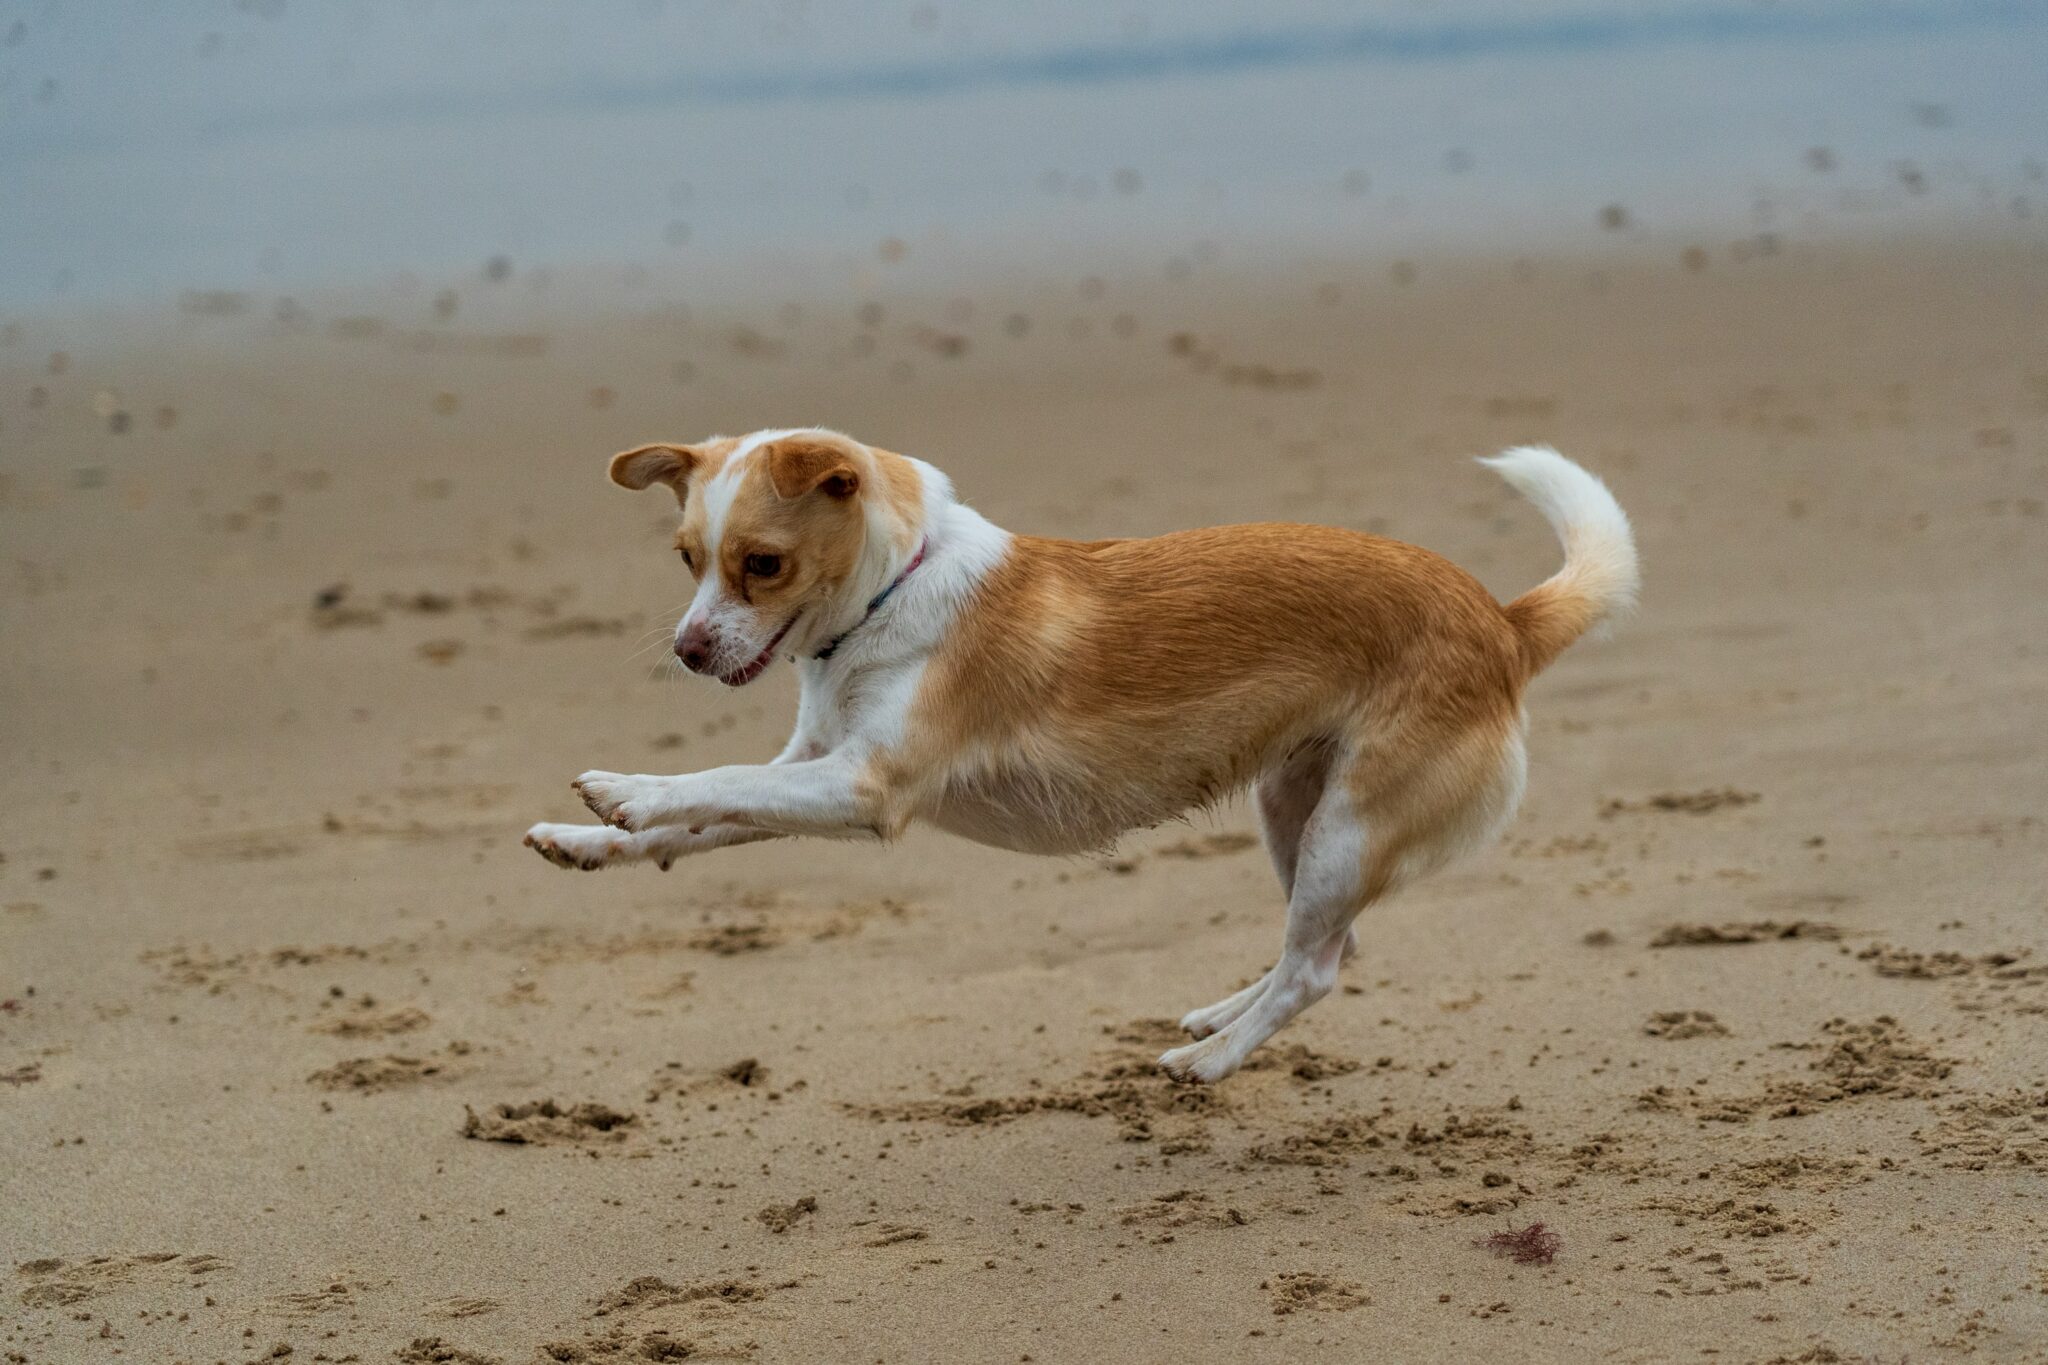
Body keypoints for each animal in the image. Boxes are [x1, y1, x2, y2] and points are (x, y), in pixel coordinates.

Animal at [524, 431, 1630, 1080]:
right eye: (686, 561)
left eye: (762, 564)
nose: (686, 650)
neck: (895, 592)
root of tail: (1504, 623)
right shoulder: (813, 768)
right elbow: (707, 814)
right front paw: (588, 839)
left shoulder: (860, 786)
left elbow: (714, 781)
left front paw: (626, 789)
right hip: (1296, 812)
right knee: (1328, 949)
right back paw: (1217, 1017)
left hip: (1348, 827)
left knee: (1316, 970)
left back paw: (1210, 1062)